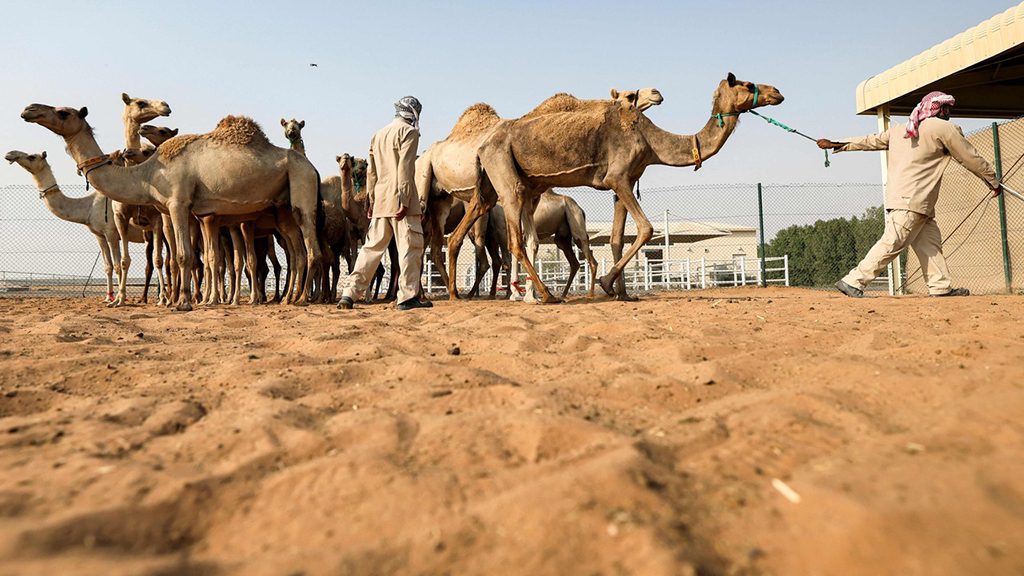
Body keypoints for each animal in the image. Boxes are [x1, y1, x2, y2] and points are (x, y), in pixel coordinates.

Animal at [5, 150, 145, 301]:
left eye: (31, 156)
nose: (10, 154)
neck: (89, 207)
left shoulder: (111, 233)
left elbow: (118, 265)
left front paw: (121, 298)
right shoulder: (99, 235)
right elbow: (108, 266)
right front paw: (108, 298)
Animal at [22, 104, 323, 311]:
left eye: (63, 112)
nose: (29, 109)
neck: (148, 172)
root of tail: (313, 167)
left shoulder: (178, 203)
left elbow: (183, 256)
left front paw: (184, 303)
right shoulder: (180, 212)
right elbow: (186, 258)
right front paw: (186, 300)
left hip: (300, 183)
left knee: (311, 249)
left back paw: (302, 299)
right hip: (284, 207)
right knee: (300, 252)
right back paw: (292, 298)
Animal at [417, 87, 663, 300]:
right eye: (629, 96)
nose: (656, 94)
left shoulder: (529, 200)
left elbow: (529, 242)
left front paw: (525, 293)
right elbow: (518, 247)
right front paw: (521, 294)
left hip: (447, 204)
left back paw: (455, 292)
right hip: (429, 187)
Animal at [471, 73, 783, 303]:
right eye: (747, 84)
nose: (778, 92)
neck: (650, 139)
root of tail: (482, 145)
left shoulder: (628, 180)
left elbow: (616, 238)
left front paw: (623, 294)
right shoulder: (617, 177)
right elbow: (646, 228)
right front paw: (607, 283)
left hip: (526, 183)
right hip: (505, 171)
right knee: (515, 239)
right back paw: (546, 295)